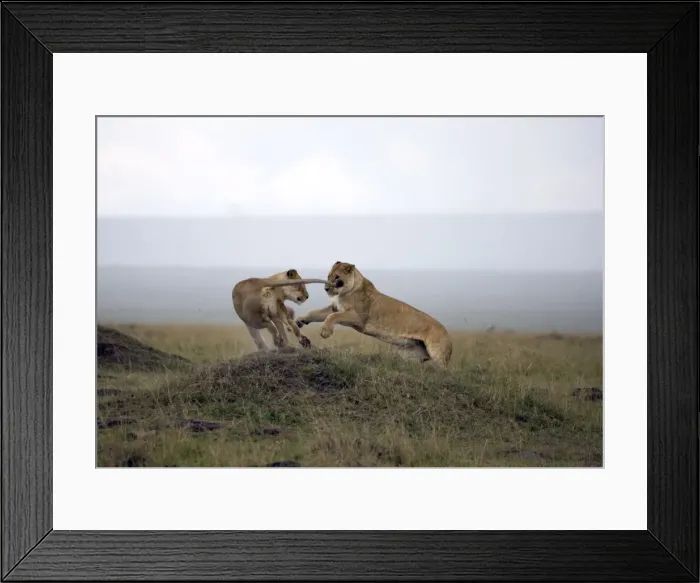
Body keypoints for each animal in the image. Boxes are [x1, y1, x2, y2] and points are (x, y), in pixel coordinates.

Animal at [295, 262, 453, 367]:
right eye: (328, 276)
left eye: (337, 277)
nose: (326, 288)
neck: (343, 293)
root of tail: (448, 334)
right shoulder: (334, 308)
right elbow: (316, 313)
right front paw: (301, 320)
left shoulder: (358, 318)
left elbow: (332, 317)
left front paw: (325, 331)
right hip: (409, 355)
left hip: (437, 353)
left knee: (445, 371)